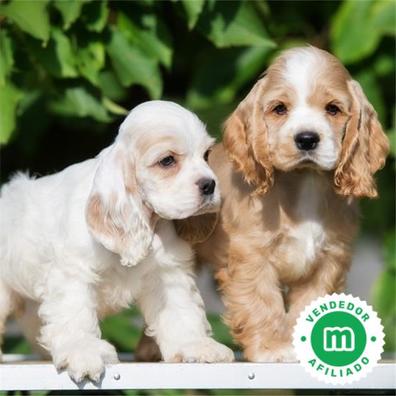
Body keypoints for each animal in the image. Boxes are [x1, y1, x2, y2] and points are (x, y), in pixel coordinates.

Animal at [0, 100, 234, 382]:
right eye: (167, 161)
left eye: (206, 155)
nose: (210, 185)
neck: (148, 221)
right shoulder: (73, 274)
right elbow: (75, 314)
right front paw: (84, 352)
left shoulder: (168, 274)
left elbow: (181, 312)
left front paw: (196, 346)